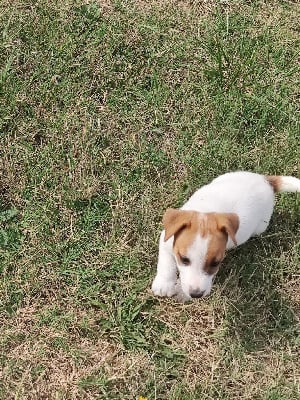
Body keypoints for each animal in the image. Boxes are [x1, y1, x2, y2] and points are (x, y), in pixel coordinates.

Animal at [152, 171, 300, 300]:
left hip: (261, 225)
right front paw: (164, 284)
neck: (205, 214)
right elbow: (166, 263)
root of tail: (266, 181)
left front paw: (182, 293)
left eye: (215, 263)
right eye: (184, 259)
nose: (196, 294)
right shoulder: (166, 240)